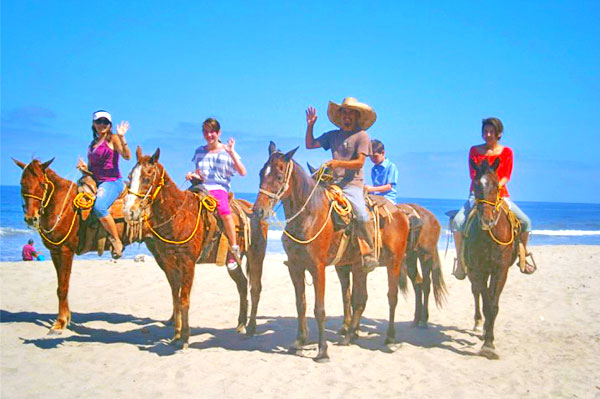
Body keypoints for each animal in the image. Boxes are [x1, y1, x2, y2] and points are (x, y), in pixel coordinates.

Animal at [12, 158, 134, 336]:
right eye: (22, 184)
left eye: (42, 184)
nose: (31, 218)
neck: (61, 205)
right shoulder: (55, 252)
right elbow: (61, 287)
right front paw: (66, 318)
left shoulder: (66, 251)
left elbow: (63, 287)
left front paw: (60, 323)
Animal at [124, 148, 268, 350]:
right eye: (130, 177)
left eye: (146, 177)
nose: (129, 211)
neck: (178, 215)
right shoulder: (170, 264)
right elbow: (176, 299)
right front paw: (176, 335)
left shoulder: (188, 264)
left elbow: (184, 300)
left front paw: (184, 338)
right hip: (231, 262)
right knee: (241, 285)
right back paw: (240, 324)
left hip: (256, 255)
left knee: (255, 288)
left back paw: (251, 328)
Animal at [251, 143, 410, 362]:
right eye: (260, 173)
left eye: (279, 175)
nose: (258, 211)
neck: (309, 215)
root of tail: (399, 213)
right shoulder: (295, 267)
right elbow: (301, 304)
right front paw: (299, 341)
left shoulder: (318, 268)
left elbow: (319, 309)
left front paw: (322, 350)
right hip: (360, 267)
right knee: (360, 299)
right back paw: (350, 335)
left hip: (393, 262)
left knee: (391, 297)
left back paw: (390, 337)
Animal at [464, 158, 520, 360]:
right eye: (476, 185)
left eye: (496, 185)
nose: (487, 221)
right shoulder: (479, 270)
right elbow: (487, 303)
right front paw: (488, 344)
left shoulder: (500, 271)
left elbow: (494, 305)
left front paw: (489, 340)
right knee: (477, 293)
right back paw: (479, 324)